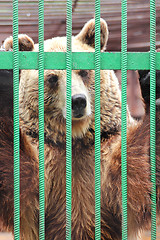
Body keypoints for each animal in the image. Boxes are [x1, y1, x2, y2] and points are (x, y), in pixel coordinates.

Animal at [0, 19, 160, 240]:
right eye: (52, 78)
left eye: (84, 71)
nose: (78, 101)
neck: (76, 140)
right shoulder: (45, 159)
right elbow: (15, 181)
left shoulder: (105, 151)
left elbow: (141, 173)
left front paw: (154, 83)